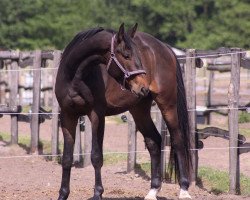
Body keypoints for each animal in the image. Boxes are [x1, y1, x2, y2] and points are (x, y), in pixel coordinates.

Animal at [55, 22, 191, 199]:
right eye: (126, 55)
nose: (143, 86)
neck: (75, 77)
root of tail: (166, 48)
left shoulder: (97, 115)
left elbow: (96, 156)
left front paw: (98, 193)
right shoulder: (67, 116)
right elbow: (66, 158)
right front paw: (63, 194)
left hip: (168, 105)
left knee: (178, 140)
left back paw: (184, 190)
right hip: (139, 109)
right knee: (154, 142)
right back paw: (153, 190)